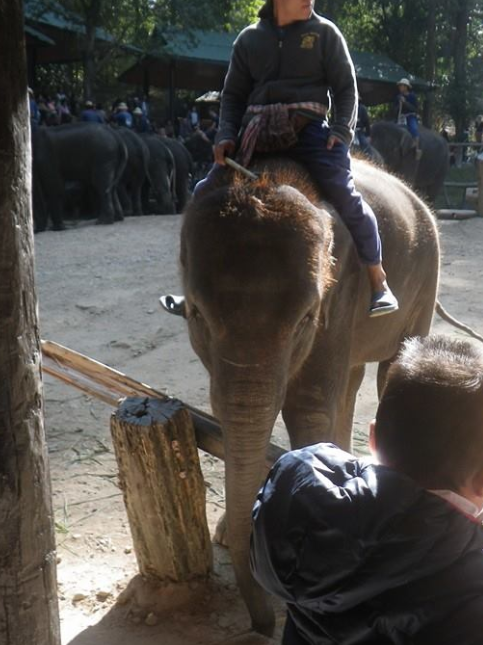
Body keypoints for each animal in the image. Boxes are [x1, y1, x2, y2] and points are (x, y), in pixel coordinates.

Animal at [164, 156, 440, 640]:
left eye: (306, 319)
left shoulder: (341, 293)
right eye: (196, 313)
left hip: (424, 283)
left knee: (391, 368)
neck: (270, 173)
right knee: (351, 379)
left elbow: (307, 408)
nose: (262, 627)